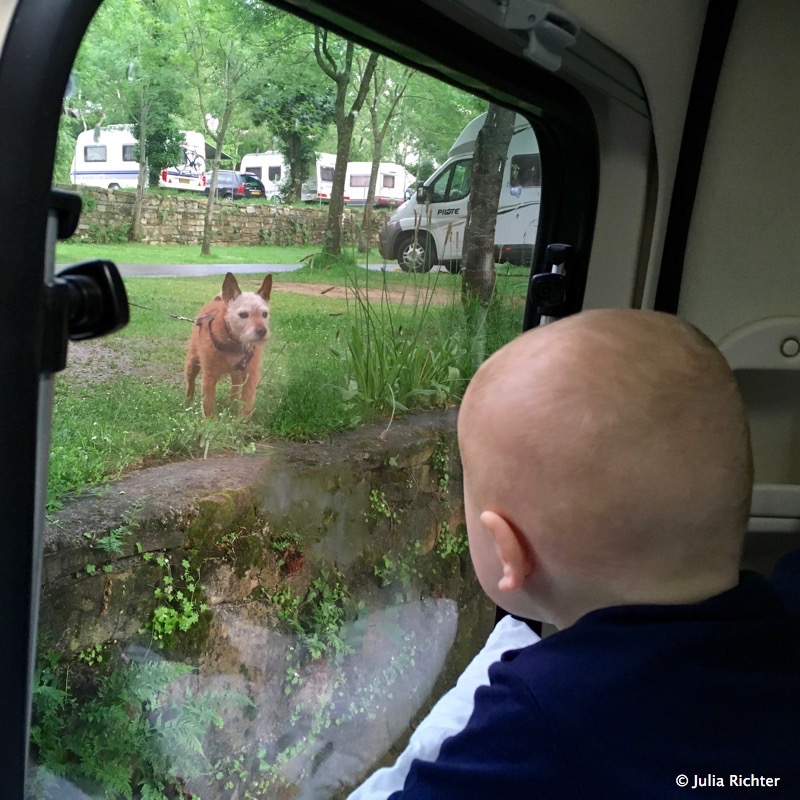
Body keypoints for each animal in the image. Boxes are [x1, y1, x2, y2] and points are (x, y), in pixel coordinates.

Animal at [185, 272, 273, 417]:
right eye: (243, 314)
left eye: (264, 314)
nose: (262, 331)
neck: (234, 345)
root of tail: (217, 299)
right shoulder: (209, 377)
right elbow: (208, 405)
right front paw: (210, 421)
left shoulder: (251, 376)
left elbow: (247, 402)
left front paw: (242, 420)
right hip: (192, 363)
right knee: (190, 382)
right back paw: (188, 402)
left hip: (236, 374)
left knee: (235, 389)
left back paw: (232, 405)